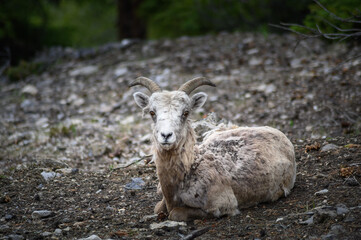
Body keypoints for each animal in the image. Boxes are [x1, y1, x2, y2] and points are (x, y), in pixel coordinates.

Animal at [129, 77, 296, 221]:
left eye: (186, 112)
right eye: (152, 112)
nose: (166, 135)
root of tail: (278, 133)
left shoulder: (222, 205)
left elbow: (175, 214)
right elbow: (158, 208)